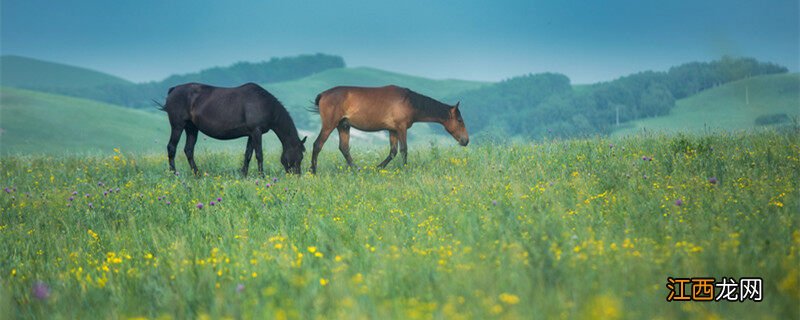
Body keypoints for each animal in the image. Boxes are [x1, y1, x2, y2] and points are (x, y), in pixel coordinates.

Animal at [159, 82, 306, 176]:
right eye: (299, 156)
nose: (297, 176)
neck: (265, 104)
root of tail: (173, 89)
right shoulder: (257, 132)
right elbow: (259, 155)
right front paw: (262, 176)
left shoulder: (251, 134)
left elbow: (248, 155)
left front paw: (244, 175)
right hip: (178, 126)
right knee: (171, 148)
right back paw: (174, 174)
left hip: (191, 128)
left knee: (189, 150)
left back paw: (197, 174)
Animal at [308, 85, 468, 174]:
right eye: (460, 120)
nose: (466, 140)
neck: (409, 101)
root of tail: (323, 94)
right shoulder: (401, 128)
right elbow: (404, 150)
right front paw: (405, 170)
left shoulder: (393, 130)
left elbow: (393, 152)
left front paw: (378, 168)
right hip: (329, 125)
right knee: (317, 145)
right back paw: (313, 171)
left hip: (343, 126)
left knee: (344, 148)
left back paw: (357, 169)